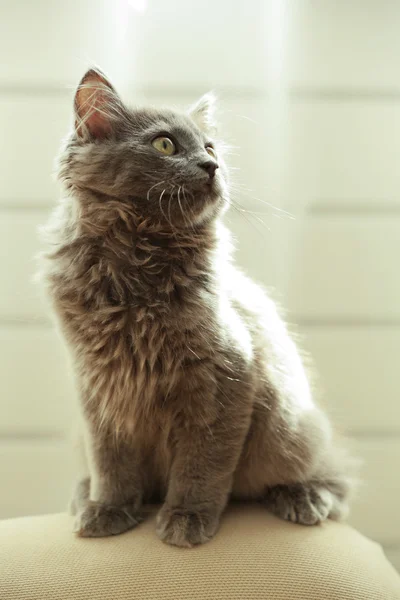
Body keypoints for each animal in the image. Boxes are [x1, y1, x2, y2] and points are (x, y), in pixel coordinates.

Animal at [39, 68, 354, 548]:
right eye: (165, 145)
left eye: (209, 148)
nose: (212, 167)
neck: (136, 276)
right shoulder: (99, 389)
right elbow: (111, 463)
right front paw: (109, 509)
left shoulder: (224, 381)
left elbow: (201, 467)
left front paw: (187, 518)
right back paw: (82, 495)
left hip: (292, 429)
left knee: (333, 478)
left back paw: (303, 498)